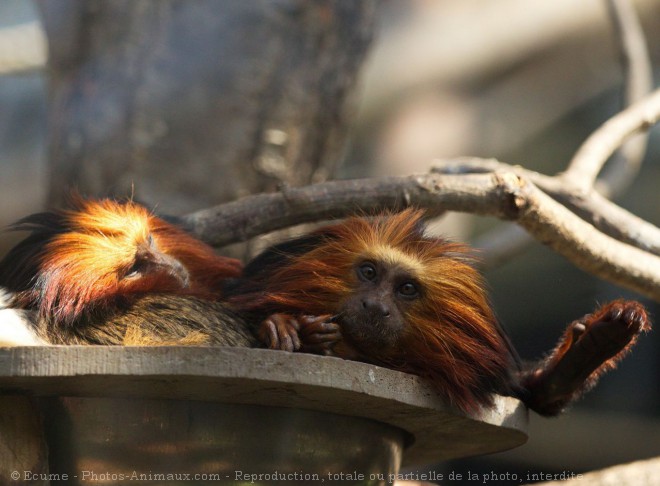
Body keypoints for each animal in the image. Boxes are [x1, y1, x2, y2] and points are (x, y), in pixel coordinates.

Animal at [227, 207, 648, 416]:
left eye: (407, 289)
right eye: (368, 272)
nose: (374, 306)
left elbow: (542, 396)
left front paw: (597, 342)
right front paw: (285, 325)